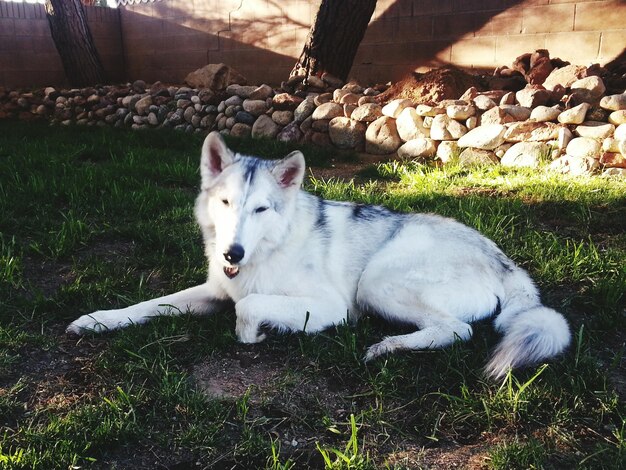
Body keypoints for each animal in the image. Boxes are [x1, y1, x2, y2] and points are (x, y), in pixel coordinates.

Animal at [68, 131, 572, 378]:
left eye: (261, 208)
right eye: (226, 203)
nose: (233, 252)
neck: (267, 250)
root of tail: (507, 263)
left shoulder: (330, 307)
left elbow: (249, 309)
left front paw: (257, 334)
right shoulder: (214, 291)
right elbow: (147, 305)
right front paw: (97, 320)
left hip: (376, 284)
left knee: (458, 330)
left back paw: (389, 346)